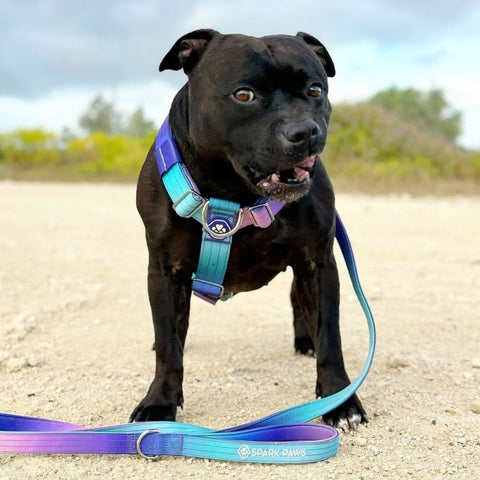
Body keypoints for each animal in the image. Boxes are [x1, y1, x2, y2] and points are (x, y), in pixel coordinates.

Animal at [129, 29, 366, 432]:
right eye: (244, 95)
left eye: (315, 90)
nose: (304, 131)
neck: (233, 193)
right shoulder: (164, 271)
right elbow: (169, 345)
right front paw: (159, 402)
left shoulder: (318, 263)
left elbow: (330, 335)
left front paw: (340, 400)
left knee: (298, 303)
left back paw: (306, 341)